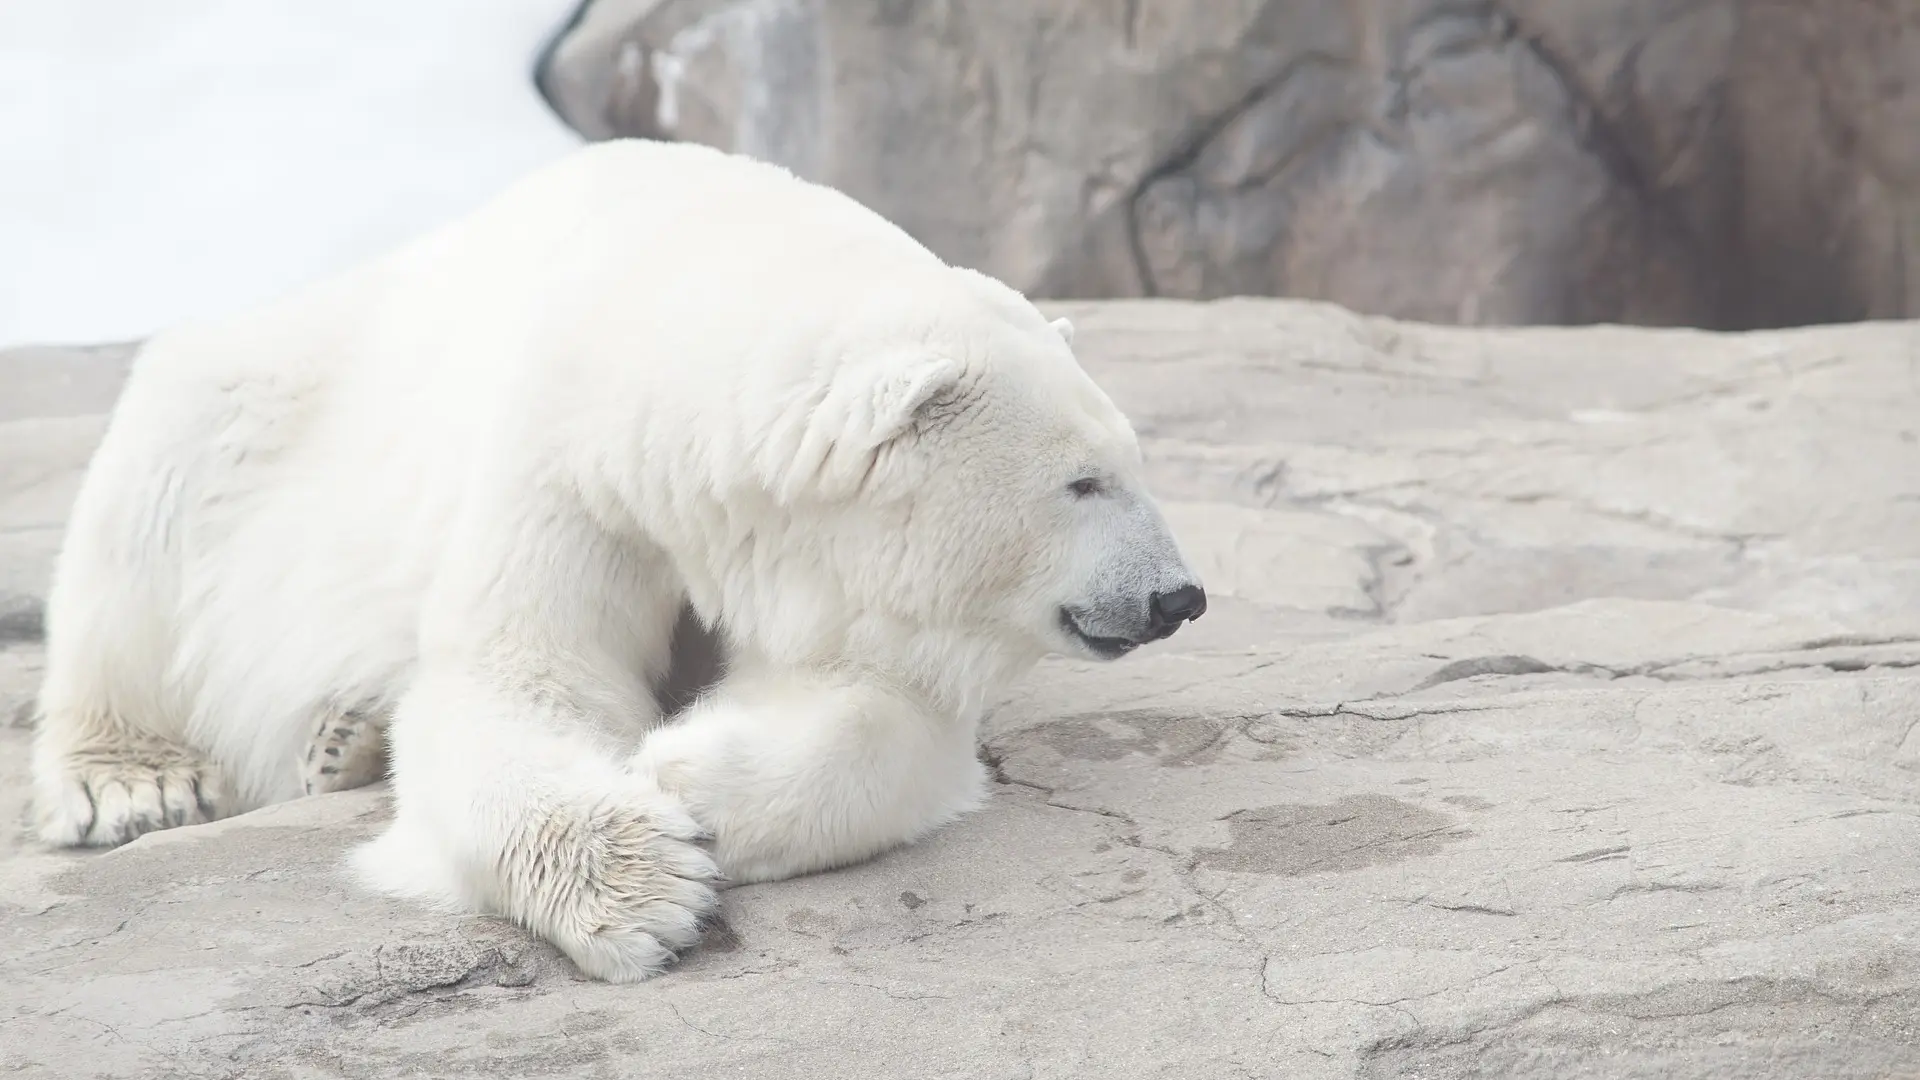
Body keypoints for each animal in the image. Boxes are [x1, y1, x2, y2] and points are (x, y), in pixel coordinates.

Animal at [30, 138, 1198, 980]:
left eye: (1135, 460)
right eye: (1084, 481)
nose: (1177, 596)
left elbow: (883, 706)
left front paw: (690, 776)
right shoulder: (571, 467)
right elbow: (517, 680)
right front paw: (643, 884)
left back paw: (343, 740)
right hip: (259, 404)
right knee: (151, 506)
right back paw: (134, 782)